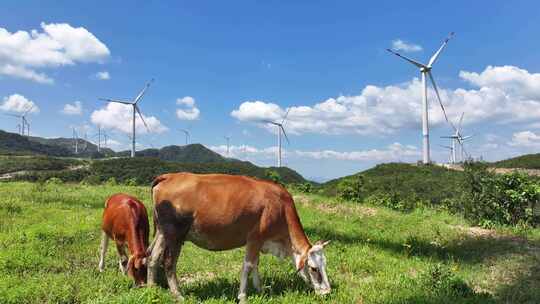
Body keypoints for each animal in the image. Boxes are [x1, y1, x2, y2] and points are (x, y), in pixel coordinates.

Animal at [148, 172, 332, 302]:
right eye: (314, 268)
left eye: (325, 265)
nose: (327, 292)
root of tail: (170, 176)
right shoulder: (255, 238)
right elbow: (248, 266)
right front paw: (243, 296)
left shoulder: (261, 241)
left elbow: (256, 264)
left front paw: (260, 289)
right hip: (175, 234)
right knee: (168, 263)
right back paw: (178, 295)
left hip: (162, 233)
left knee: (152, 257)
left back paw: (150, 288)